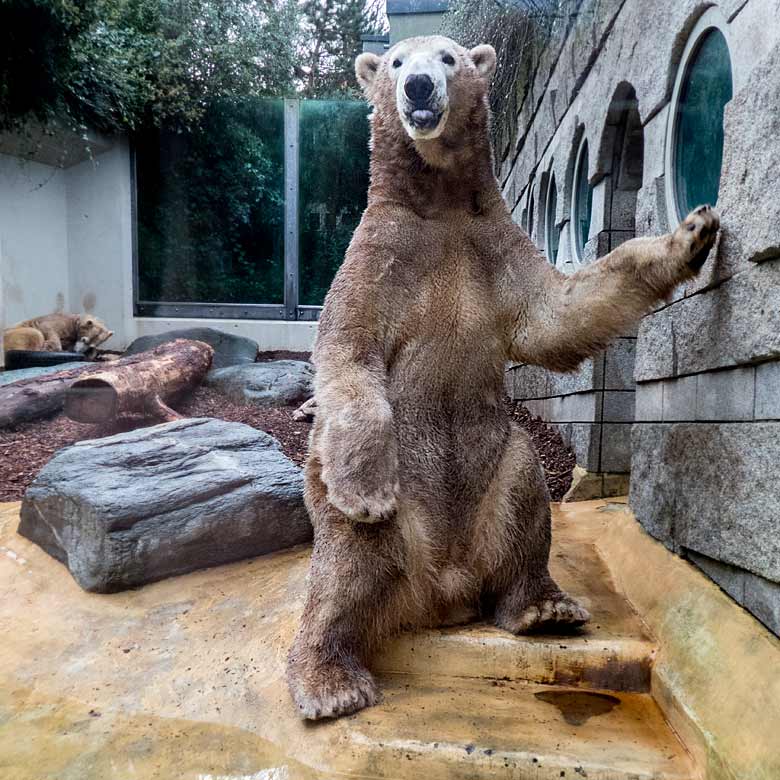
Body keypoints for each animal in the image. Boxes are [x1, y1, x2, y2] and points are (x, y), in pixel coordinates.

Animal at [286, 35, 720, 720]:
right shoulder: (378, 256)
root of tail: (440, 591)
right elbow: (348, 352)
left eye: (447, 57)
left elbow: (556, 314)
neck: (438, 204)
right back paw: (332, 681)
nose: (417, 87)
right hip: (384, 511)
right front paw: (366, 491)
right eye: (394, 63)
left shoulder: (491, 245)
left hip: (494, 466)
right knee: (349, 562)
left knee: (523, 493)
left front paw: (692, 233)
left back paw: (543, 607)